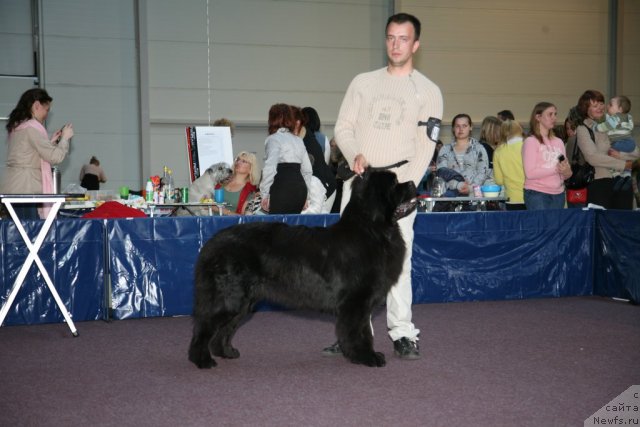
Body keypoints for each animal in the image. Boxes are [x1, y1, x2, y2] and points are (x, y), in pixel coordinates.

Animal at [188, 169, 418, 370]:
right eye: (395, 184)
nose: (413, 183)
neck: (372, 229)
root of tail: (211, 244)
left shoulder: (360, 303)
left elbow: (361, 331)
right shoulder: (356, 302)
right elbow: (361, 332)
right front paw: (367, 357)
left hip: (243, 302)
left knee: (224, 330)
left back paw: (226, 352)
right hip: (229, 298)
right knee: (204, 328)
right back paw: (202, 360)